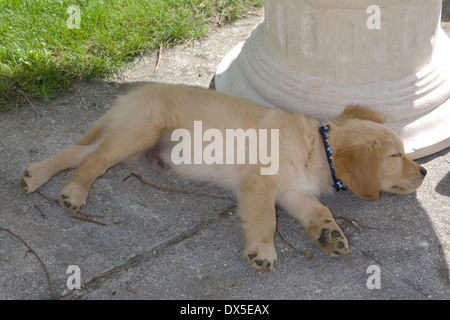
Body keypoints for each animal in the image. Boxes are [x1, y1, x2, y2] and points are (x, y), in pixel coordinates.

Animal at [19, 82, 428, 270]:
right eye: (396, 156)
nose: (424, 170)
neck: (319, 147)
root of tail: (134, 93)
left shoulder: (293, 192)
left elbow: (317, 211)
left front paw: (329, 234)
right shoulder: (260, 185)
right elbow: (265, 219)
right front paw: (263, 249)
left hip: (127, 140)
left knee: (78, 152)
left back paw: (34, 176)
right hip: (139, 132)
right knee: (92, 162)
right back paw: (74, 191)